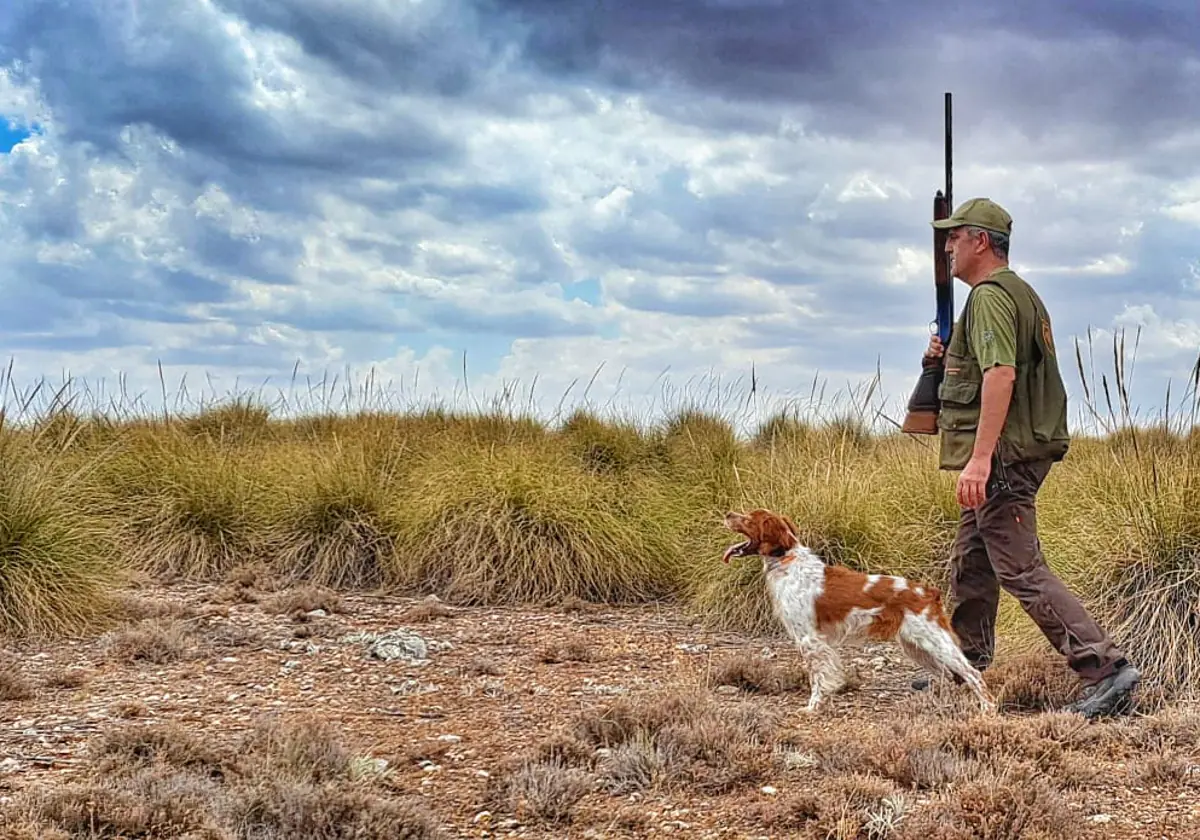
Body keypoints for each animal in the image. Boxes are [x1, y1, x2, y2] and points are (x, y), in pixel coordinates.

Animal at [720, 506, 993, 715]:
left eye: (748, 519)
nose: (728, 513)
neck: (787, 561)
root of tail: (929, 592)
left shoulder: (810, 640)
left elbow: (817, 679)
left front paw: (812, 707)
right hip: (917, 647)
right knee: (949, 677)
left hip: (936, 643)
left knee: (972, 674)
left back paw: (986, 709)